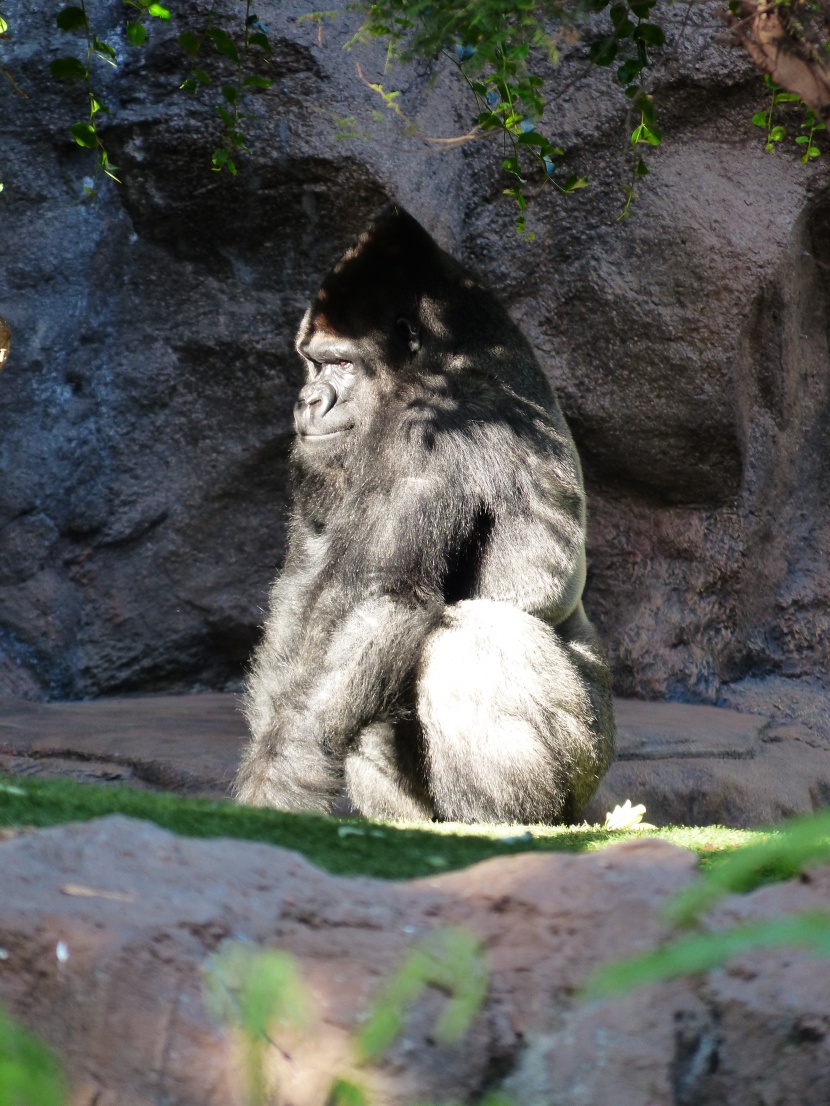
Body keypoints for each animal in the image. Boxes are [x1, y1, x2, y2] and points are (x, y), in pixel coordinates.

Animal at [235, 205, 619, 822]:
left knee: (469, 636)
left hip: (590, 760)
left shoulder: (433, 422)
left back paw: (504, 821)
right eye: (311, 364)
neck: (454, 353)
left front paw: (275, 788)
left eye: (341, 363)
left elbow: (379, 598)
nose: (308, 401)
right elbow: (309, 601)